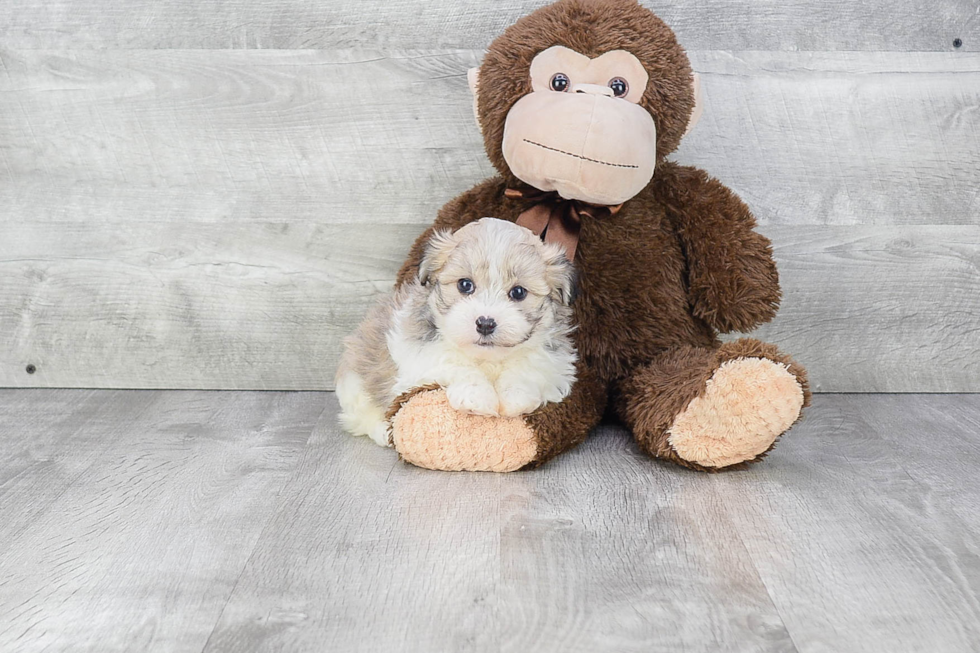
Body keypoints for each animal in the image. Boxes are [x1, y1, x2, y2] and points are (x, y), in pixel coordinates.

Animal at [336, 216, 580, 446]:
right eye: (465, 285)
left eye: (518, 292)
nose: (485, 323)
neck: (488, 359)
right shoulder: (418, 354)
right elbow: (452, 362)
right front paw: (476, 395)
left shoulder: (556, 363)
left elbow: (530, 365)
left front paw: (516, 395)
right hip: (355, 383)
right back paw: (382, 431)